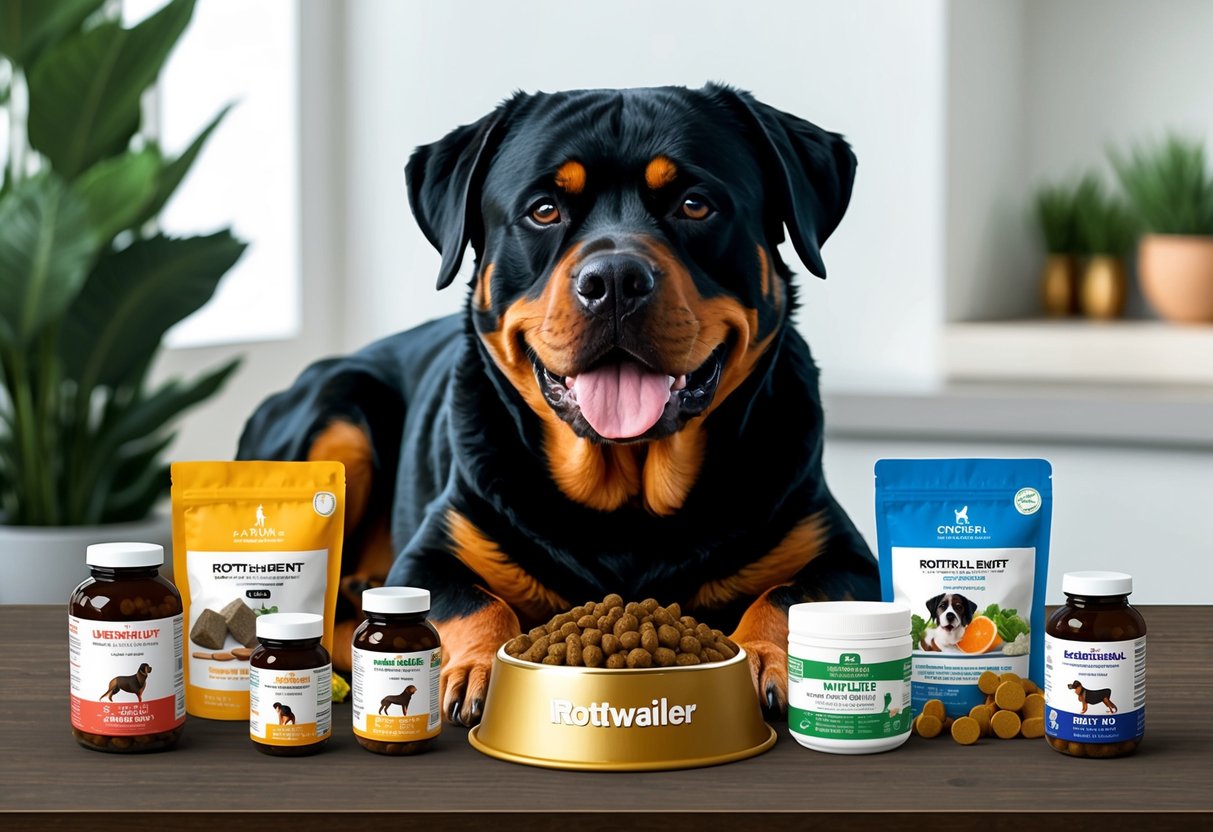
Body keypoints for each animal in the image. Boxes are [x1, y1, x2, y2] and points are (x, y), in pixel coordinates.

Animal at [238, 81, 883, 727]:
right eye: (544, 210)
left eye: (695, 204)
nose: (615, 279)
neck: (628, 504)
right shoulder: (430, 555)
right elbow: (474, 603)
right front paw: (480, 667)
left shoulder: (844, 555)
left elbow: (789, 594)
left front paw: (760, 656)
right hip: (341, 418)